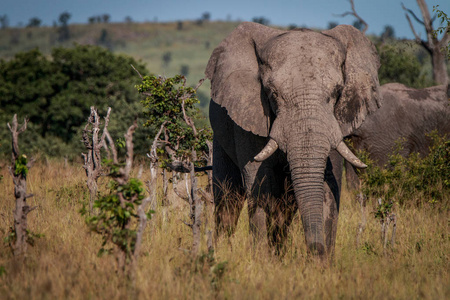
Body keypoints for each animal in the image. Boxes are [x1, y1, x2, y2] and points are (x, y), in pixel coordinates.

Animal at [206, 21, 382, 258]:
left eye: (337, 92)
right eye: (272, 93)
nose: (315, 248)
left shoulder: (335, 123)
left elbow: (328, 187)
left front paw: (321, 262)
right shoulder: (248, 116)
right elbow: (262, 186)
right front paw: (263, 261)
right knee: (228, 198)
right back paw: (221, 251)